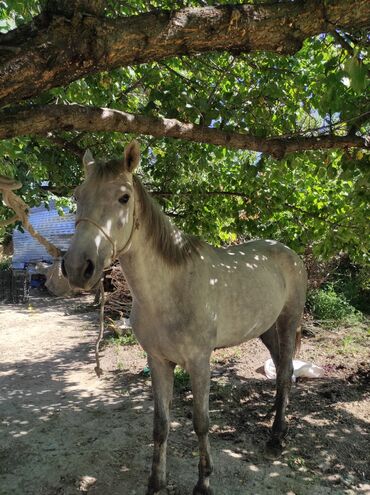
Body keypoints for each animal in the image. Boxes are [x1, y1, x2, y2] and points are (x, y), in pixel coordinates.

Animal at [62, 140, 306, 495]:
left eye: (124, 197)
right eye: (77, 195)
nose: (78, 267)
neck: (170, 290)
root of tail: (288, 252)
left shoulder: (199, 362)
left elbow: (201, 423)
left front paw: (203, 482)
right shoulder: (158, 361)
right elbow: (161, 425)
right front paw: (156, 481)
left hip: (288, 322)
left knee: (286, 373)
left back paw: (276, 439)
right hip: (266, 329)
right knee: (280, 373)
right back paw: (279, 429)